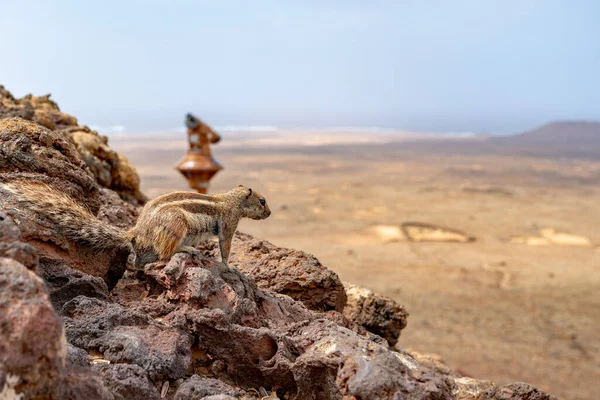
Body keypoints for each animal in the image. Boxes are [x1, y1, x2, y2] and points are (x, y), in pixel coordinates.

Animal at [1, 182, 270, 268]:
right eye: (262, 201)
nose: (269, 213)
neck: (231, 200)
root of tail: (138, 230)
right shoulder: (229, 224)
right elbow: (225, 246)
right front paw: (229, 267)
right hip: (177, 225)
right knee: (165, 254)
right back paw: (187, 249)